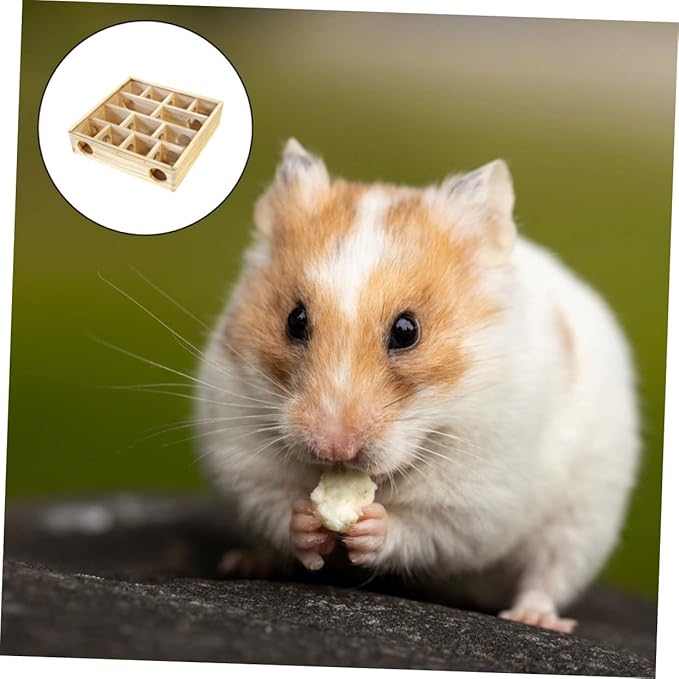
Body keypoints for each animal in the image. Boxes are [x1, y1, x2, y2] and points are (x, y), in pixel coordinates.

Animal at [197, 138, 640, 633]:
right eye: (295, 320)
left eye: (407, 331)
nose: (333, 448)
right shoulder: (241, 455)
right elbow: (273, 504)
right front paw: (308, 523)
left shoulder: (477, 499)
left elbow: (424, 530)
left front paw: (370, 526)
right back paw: (246, 563)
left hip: (584, 517)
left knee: (548, 572)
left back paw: (535, 617)